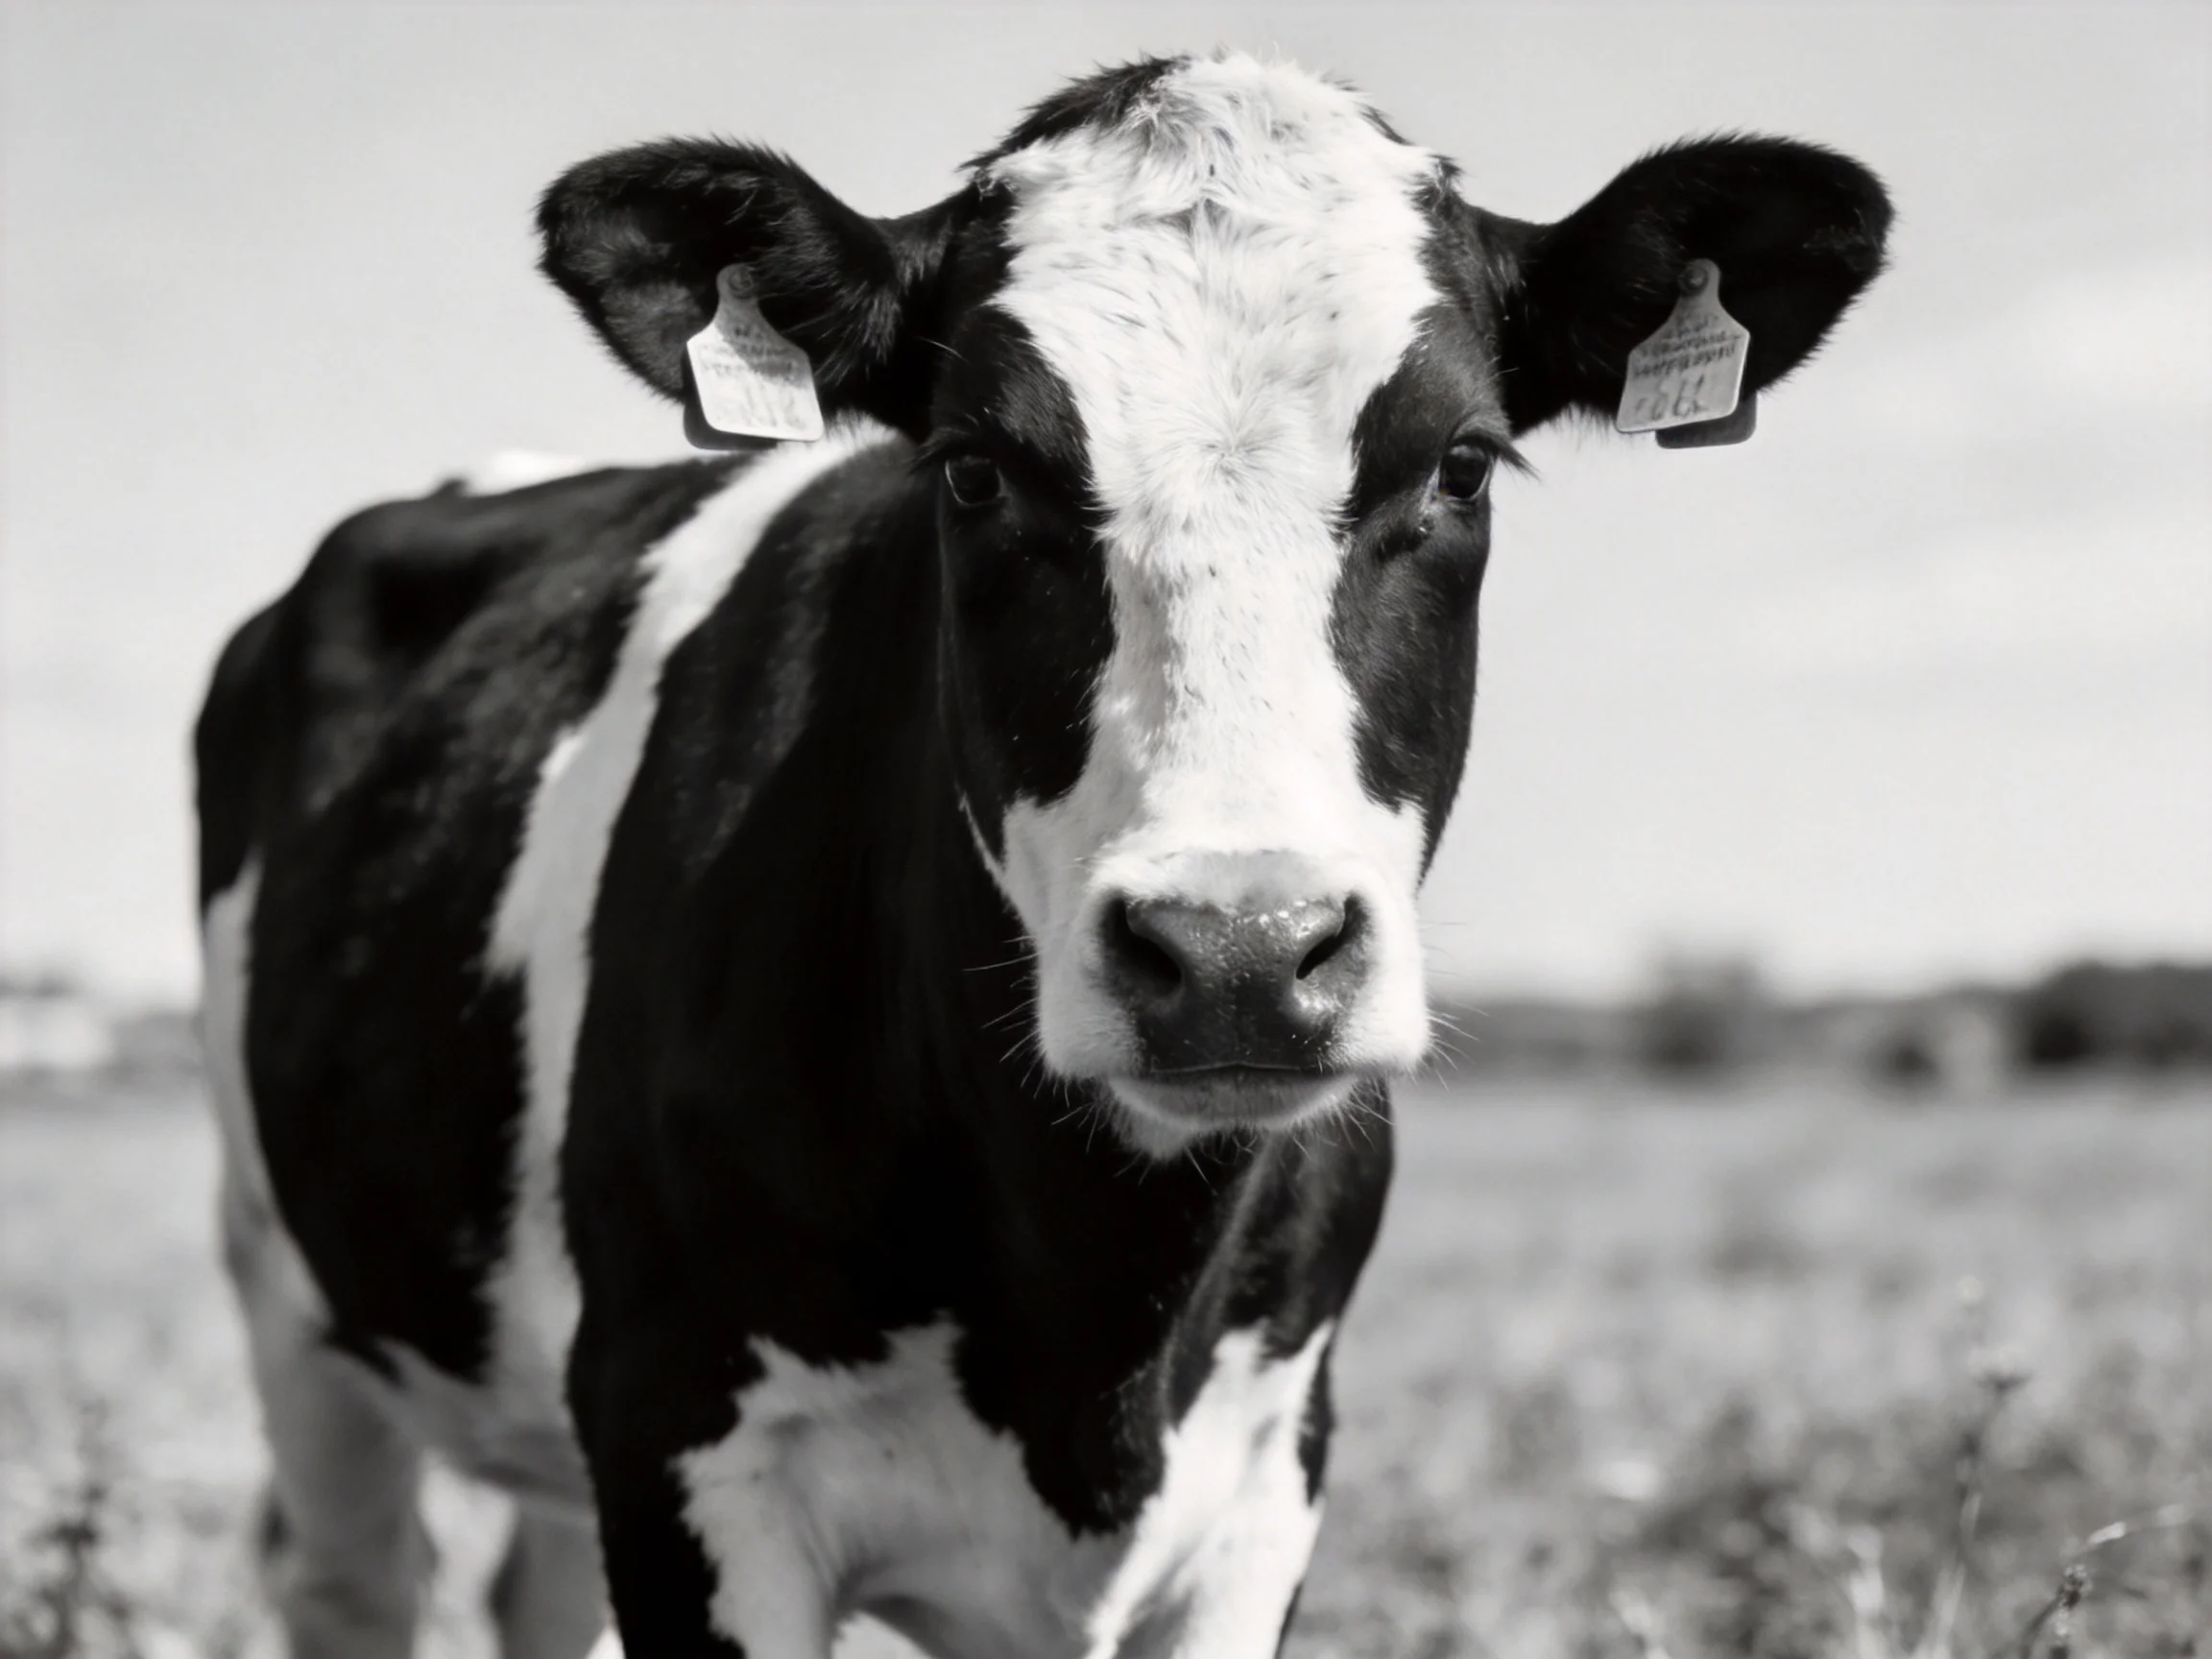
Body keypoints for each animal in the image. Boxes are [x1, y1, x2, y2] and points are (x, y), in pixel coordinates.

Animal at [196, 51, 1888, 1659]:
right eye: (971, 469)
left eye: (1461, 467)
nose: (1237, 952)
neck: (1096, 1319)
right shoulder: (681, 1438)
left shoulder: (1273, 1469)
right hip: (290, 1299)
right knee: (348, 1581)